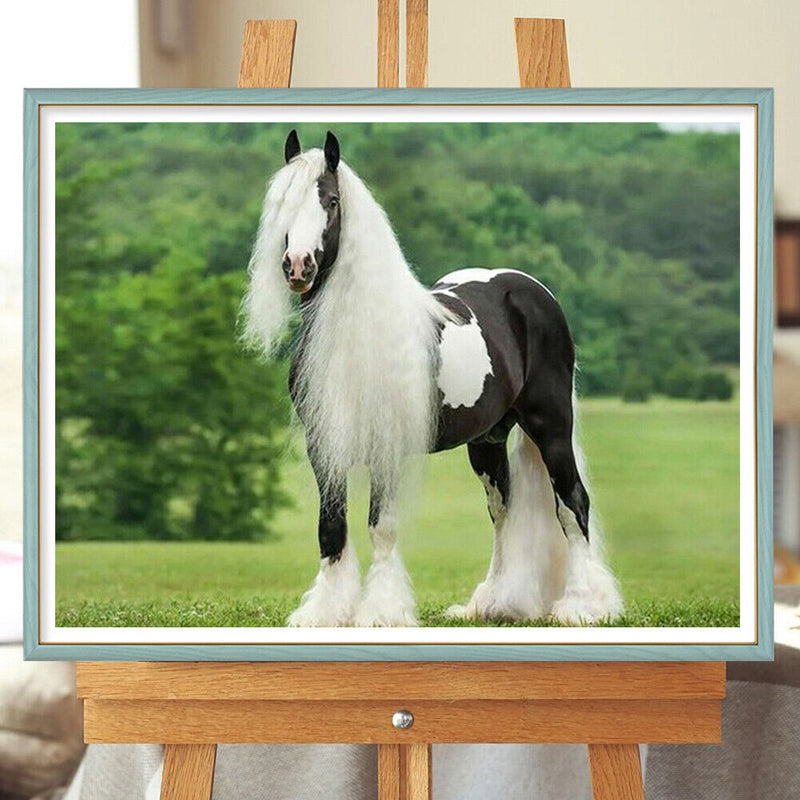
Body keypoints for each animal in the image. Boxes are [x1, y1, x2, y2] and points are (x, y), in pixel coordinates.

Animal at [243, 130, 624, 627]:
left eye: (330, 200)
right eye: (283, 202)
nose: (297, 265)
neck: (354, 333)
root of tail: (532, 290)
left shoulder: (385, 447)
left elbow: (381, 528)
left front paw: (381, 612)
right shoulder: (324, 445)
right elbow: (332, 529)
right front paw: (324, 613)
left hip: (552, 426)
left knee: (571, 503)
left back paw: (582, 606)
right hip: (487, 439)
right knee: (503, 511)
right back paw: (494, 603)